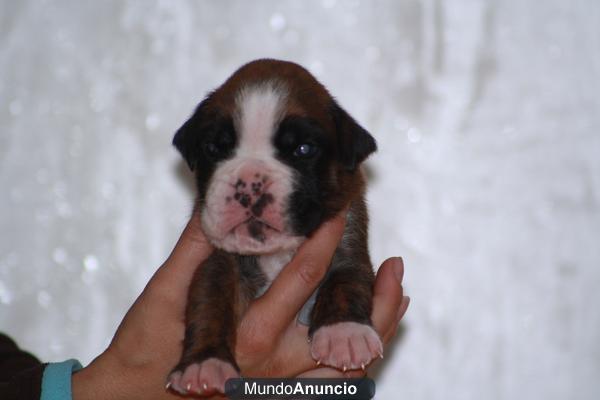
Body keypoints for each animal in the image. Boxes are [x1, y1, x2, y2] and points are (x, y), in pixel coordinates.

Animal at [166, 59, 378, 396]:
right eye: (213, 148)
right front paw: (204, 362)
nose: (249, 182)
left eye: (303, 149)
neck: (276, 252)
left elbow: (346, 279)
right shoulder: (218, 261)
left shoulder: (347, 235)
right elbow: (210, 302)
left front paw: (344, 332)